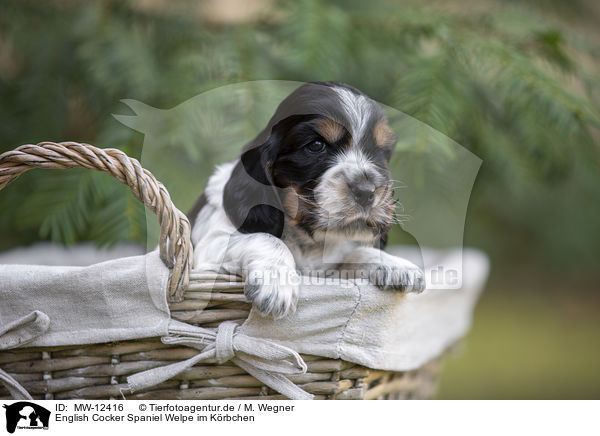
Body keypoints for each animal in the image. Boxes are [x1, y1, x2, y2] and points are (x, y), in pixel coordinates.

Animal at [190, 82, 424, 318]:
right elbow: (264, 237)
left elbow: (354, 253)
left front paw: (396, 265)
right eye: (316, 145)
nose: (367, 192)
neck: (308, 240)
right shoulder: (212, 245)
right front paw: (277, 285)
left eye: (379, 151)